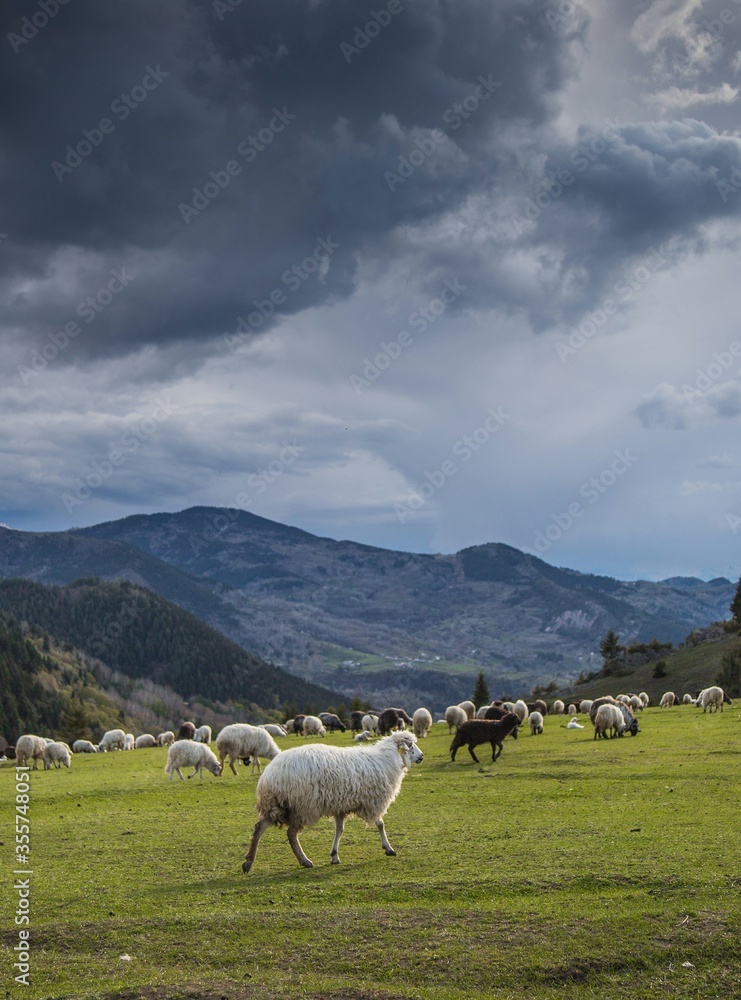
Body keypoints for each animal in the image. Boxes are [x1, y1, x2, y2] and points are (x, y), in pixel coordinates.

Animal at [240, 728, 420, 876]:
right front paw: (388, 848)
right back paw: (304, 861)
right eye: (410, 745)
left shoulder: (341, 806)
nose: (422, 757)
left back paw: (248, 862)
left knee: (259, 828)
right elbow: (380, 824)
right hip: (301, 806)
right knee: (291, 834)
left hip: (275, 805)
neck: (388, 760)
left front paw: (334, 855)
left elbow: (339, 830)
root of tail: (271, 774)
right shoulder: (371, 803)